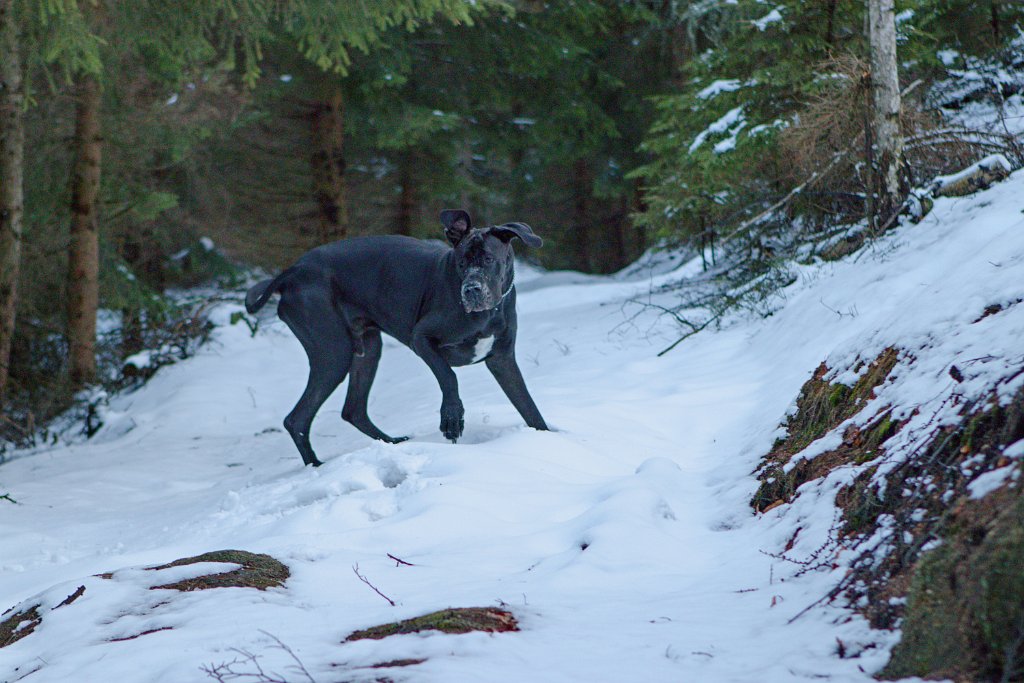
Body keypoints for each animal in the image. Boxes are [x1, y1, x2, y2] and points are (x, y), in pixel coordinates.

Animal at [244, 208, 548, 464]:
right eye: (461, 263)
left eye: (488, 259)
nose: (471, 289)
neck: (489, 311)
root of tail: (291, 272)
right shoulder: (421, 338)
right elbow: (448, 376)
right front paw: (452, 418)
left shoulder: (502, 360)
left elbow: (528, 406)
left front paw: (547, 440)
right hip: (334, 351)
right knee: (297, 419)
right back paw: (316, 466)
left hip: (367, 348)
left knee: (352, 410)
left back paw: (391, 443)